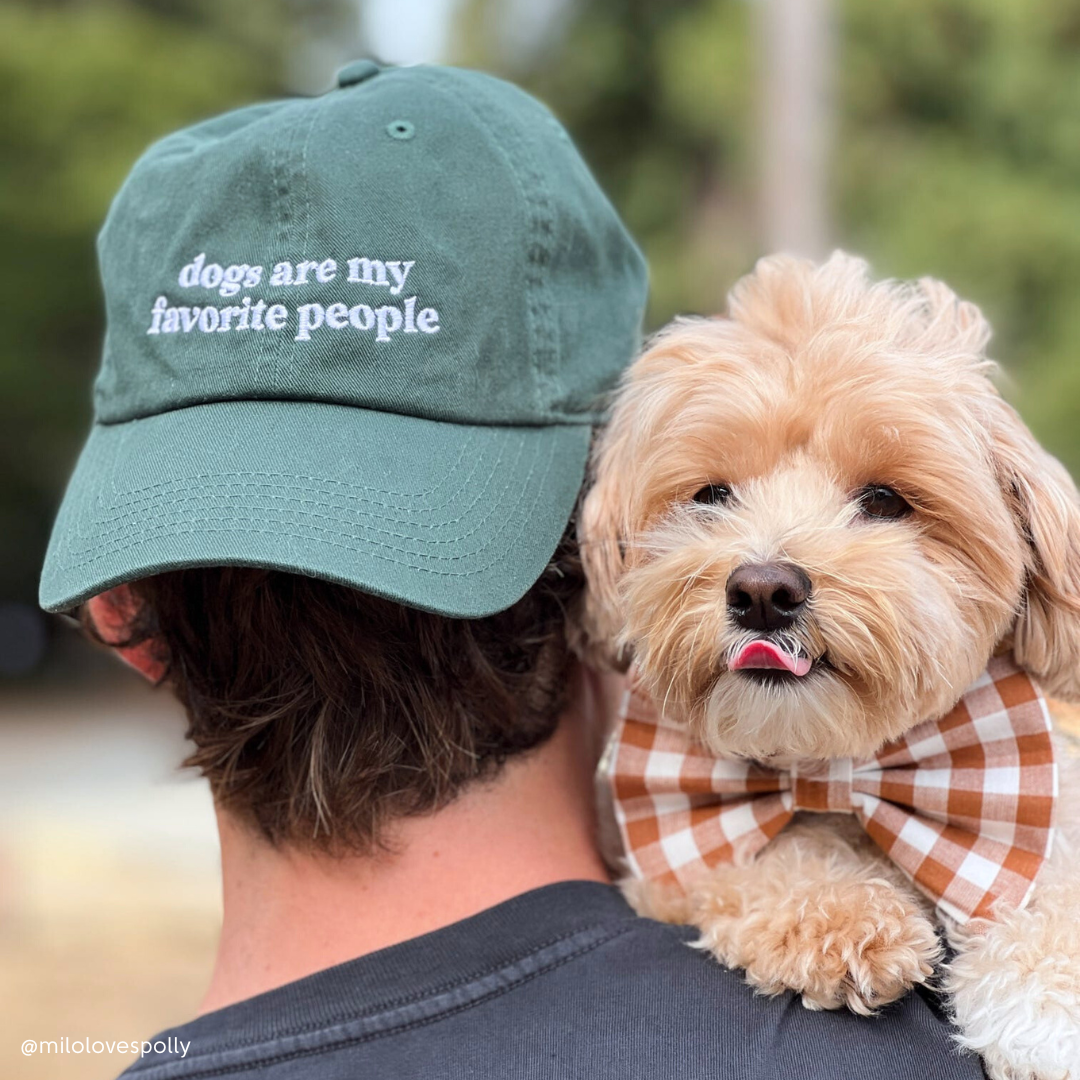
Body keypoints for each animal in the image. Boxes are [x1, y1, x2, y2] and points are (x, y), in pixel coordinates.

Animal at [587, 250, 1080, 1071]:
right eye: (711, 495)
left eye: (883, 500)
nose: (762, 591)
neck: (844, 769)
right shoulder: (667, 864)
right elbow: (764, 859)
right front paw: (841, 911)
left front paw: (1048, 1007)